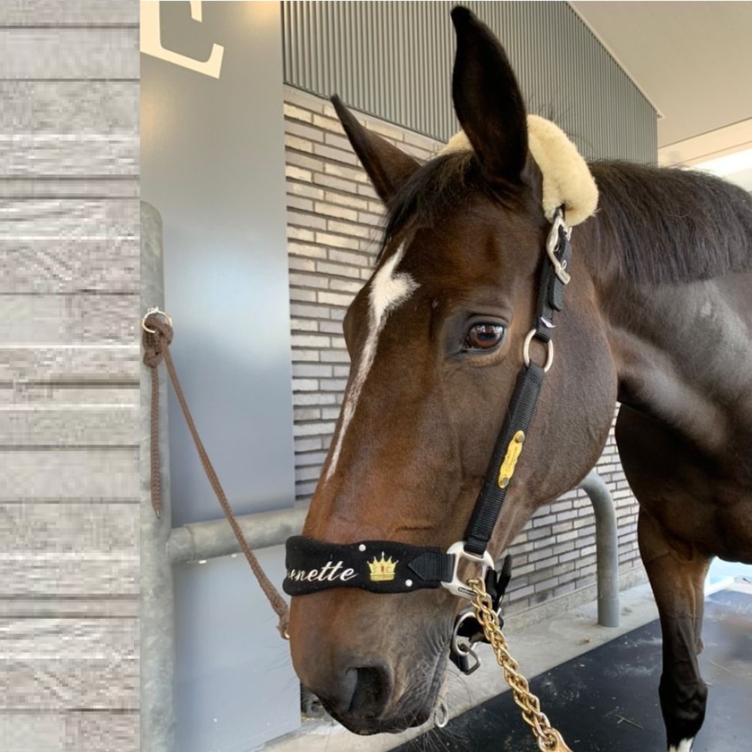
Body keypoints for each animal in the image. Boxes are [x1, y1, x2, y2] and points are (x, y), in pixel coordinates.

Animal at [286, 8, 752, 751]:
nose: (329, 668)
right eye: (353, 327)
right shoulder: (667, 547)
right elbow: (683, 696)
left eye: (484, 333)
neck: (727, 411)